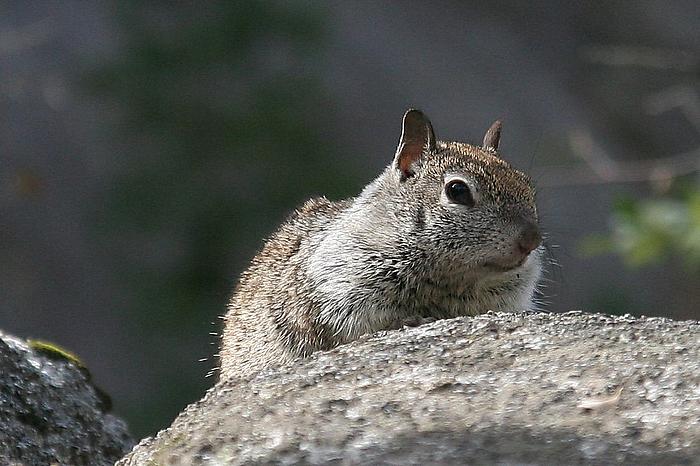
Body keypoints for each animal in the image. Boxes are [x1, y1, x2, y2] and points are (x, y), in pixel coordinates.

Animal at [219, 109, 543, 381]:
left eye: (527, 184)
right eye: (457, 190)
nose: (531, 240)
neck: (449, 280)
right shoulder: (340, 289)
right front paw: (412, 320)